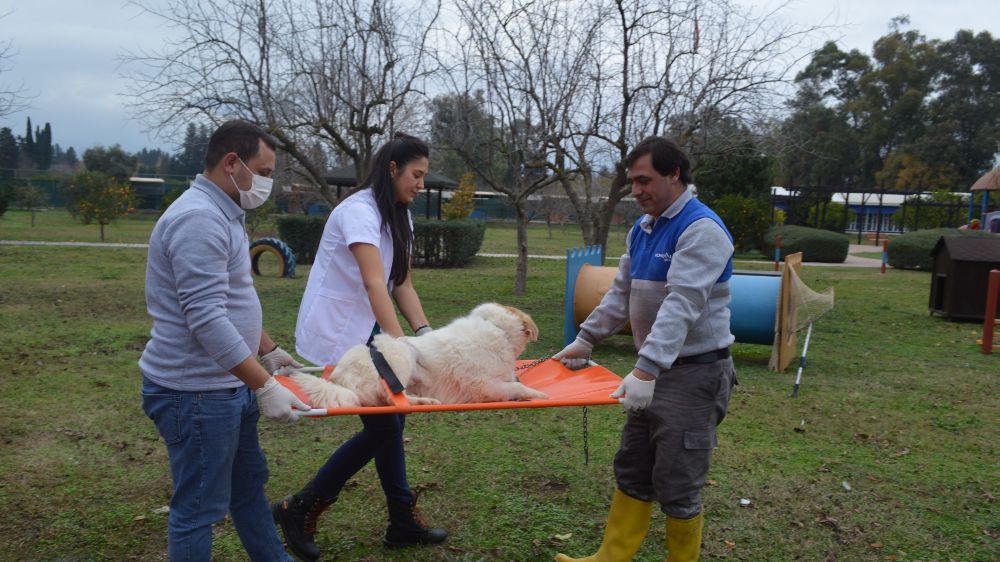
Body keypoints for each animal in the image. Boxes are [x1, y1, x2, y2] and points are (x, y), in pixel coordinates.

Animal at [292, 304, 552, 404]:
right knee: (394, 400)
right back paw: (425, 401)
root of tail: (338, 378)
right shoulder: (484, 386)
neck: (496, 329)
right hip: (402, 353)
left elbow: (514, 383)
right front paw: (538, 394)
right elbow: (516, 386)